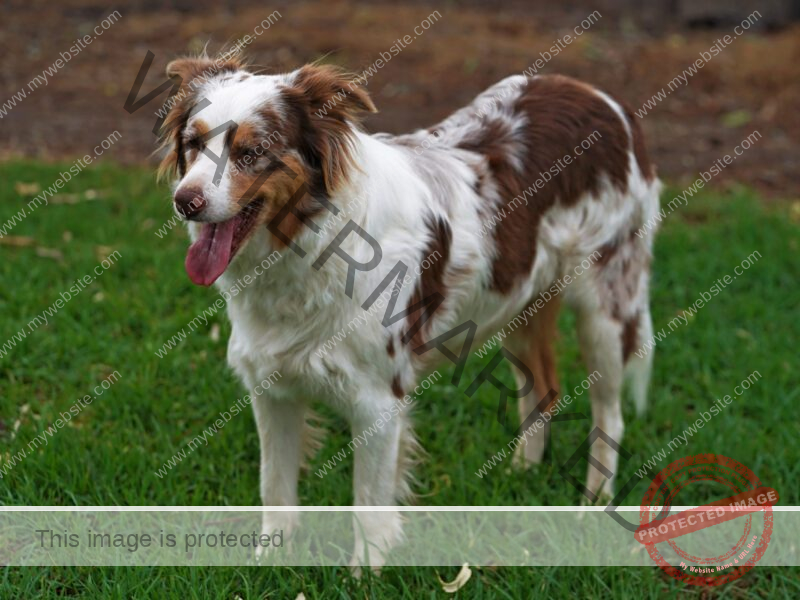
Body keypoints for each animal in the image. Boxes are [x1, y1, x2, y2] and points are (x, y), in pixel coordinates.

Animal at [158, 56, 664, 568]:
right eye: (193, 144)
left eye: (252, 151)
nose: (185, 202)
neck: (309, 245)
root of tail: (600, 96)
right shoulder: (272, 387)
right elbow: (275, 488)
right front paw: (270, 562)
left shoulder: (377, 401)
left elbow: (368, 506)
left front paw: (365, 574)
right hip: (518, 300)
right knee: (545, 388)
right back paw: (522, 472)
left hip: (604, 308)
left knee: (609, 414)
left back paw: (593, 502)